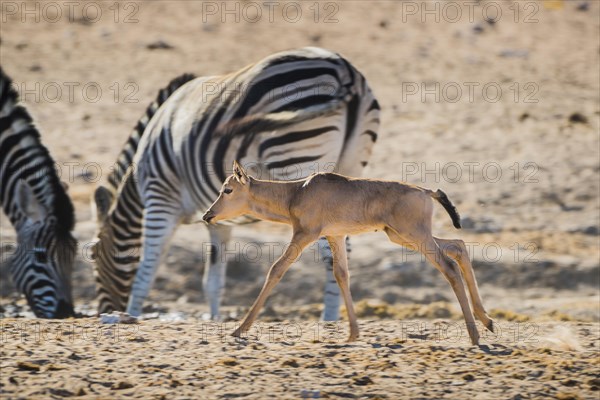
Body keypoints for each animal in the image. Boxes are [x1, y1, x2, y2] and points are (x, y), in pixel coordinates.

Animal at [91, 47, 378, 318]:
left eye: (93, 255)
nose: (103, 312)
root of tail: (344, 70)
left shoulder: (160, 196)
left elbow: (146, 270)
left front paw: (131, 315)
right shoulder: (220, 219)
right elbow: (213, 281)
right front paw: (215, 320)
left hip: (298, 157)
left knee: (330, 253)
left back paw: (328, 320)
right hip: (349, 169)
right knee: (341, 249)